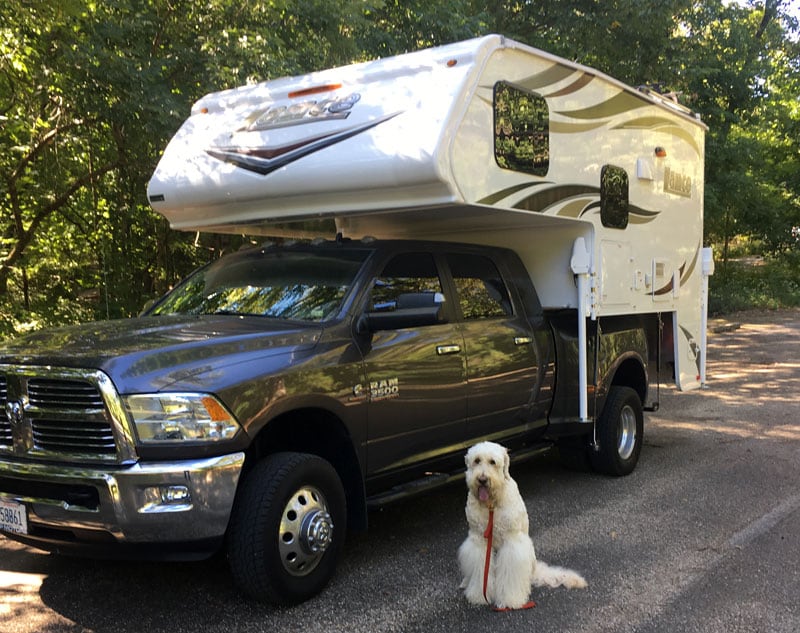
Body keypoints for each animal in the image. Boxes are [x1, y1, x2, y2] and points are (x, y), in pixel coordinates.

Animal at [456, 440, 588, 608]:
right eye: (477, 460)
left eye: (493, 462)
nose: (482, 480)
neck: (492, 505)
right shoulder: (479, 541)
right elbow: (480, 571)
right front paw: (479, 595)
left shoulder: (512, 543)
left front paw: (510, 600)